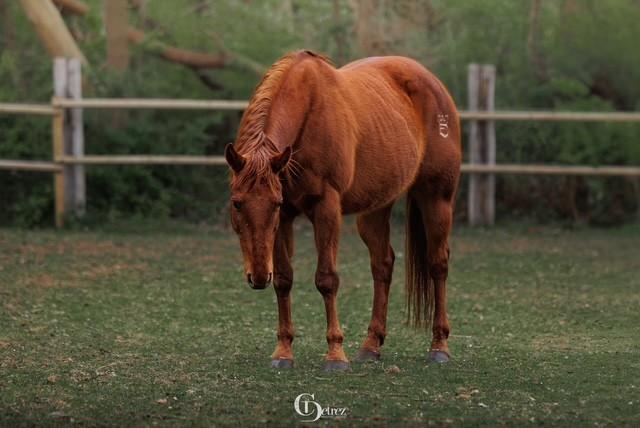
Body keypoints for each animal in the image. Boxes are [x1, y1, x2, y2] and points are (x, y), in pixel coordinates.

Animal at [224, 50, 461, 371]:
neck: (309, 115)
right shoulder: (285, 218)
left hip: (436, 199)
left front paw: (336, 355)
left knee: (438, 264)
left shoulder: (325, 210)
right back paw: (371, 345)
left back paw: (439, 346)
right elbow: (284, 279)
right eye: (237, 203)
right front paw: (283, 352)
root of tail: (434, 84)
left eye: (272, 203)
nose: (259, 277)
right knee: (382, 264)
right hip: (375, 209)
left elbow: (327, 279)